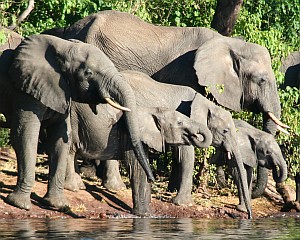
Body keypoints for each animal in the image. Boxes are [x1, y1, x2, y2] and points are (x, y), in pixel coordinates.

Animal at [2, 33, 155, 210]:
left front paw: (58, 205)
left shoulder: (59, 91)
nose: (152, 179)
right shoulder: (25, 89)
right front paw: (19, 204)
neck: (63, 47)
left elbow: (59, 140)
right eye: (88, 73)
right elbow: (26, 135)